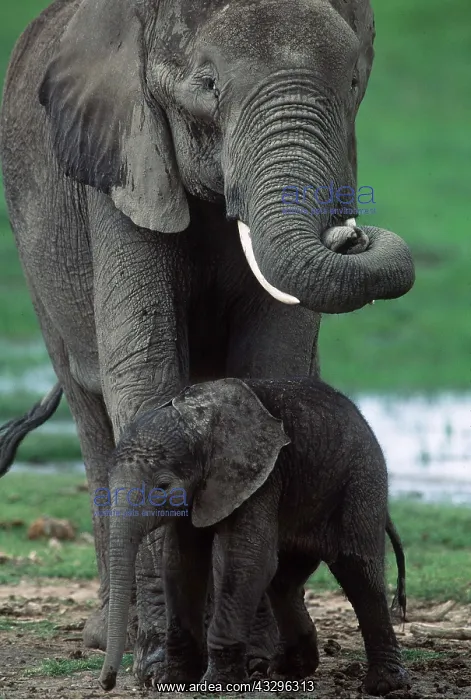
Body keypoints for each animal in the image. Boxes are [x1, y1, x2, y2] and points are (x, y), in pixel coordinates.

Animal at [99, 377, 408, 696]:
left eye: (163, 486)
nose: (106, 683)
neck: (196, 424)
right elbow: (181, 564)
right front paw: (171, 681)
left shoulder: (260, 479)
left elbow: (247, 561)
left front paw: (215, 686)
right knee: (283, 580)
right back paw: (288, 671)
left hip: (361, 480)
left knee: (357, 571)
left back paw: (383, 685)